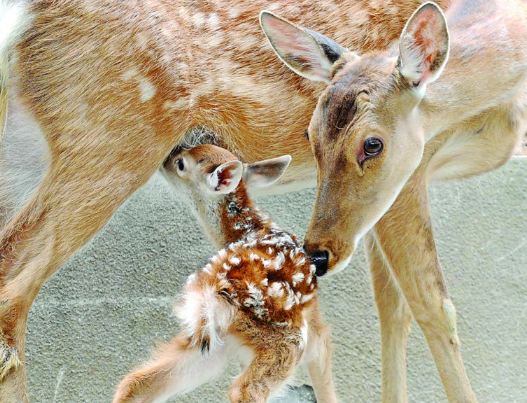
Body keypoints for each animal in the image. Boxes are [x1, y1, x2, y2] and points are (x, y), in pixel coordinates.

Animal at [260, 0, 527, 403]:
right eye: (310, 135)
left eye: (372, 143)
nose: (318, 255)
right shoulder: (410, 175)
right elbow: (406, 307)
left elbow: (427, 307)